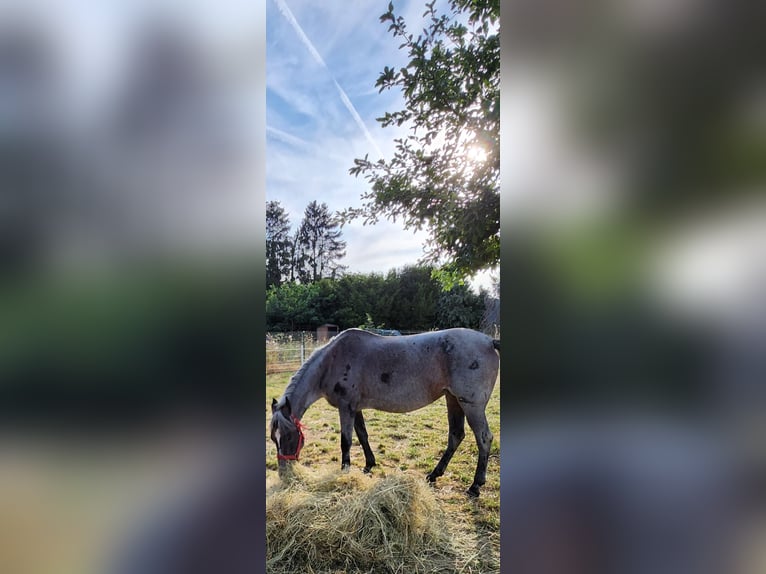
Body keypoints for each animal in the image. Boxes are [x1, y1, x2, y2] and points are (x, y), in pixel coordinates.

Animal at [272, 328, 504, 500]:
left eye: (290, 436)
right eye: (274, 439)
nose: (284, 473)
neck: (332, 360)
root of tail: (488, 341)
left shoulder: (346, 407)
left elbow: (346, 441)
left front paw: (344, 472)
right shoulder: (355, 408)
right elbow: (362, 435)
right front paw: (369, 464)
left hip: (471, 405)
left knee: (484, 438)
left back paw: (475, 486)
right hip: (453, 399)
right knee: (456, 435)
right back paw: (434, 475)